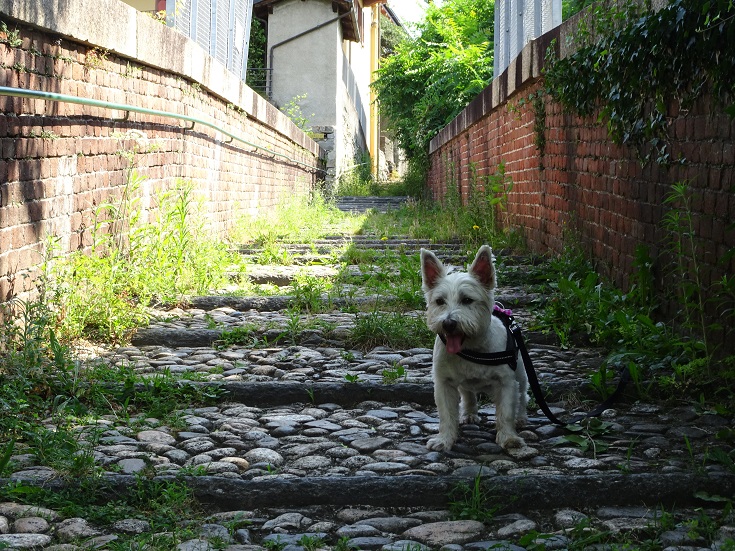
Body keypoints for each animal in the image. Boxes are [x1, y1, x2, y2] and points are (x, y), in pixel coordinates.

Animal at [420, 247, 528, 452]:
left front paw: (509, 438)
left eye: (467, 300)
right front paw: (444, 440)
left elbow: (506, 411)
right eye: (439, 301)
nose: (448, 324)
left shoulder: (506, 381)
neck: (470, 349)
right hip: (464, 384)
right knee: (468, 394)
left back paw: (521, 418)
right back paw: (469, 414)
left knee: (522, 394)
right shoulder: (444, 383)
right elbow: (446, 415)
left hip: (521, 371)